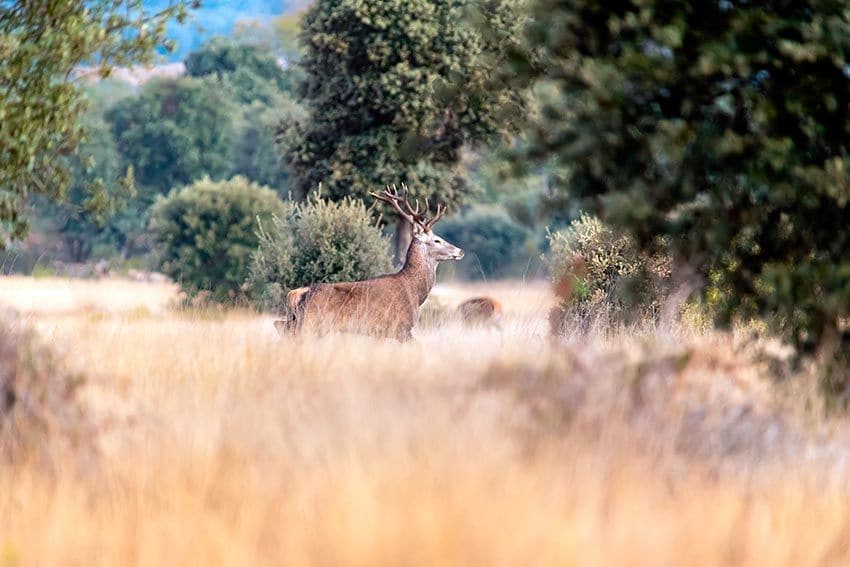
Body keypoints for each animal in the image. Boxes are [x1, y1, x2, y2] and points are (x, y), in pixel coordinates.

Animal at [276, 184, 464, 340]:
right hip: (312, 324)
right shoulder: (399, 327)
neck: (415, 293)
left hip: (296, 324)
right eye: (437, 240)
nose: (460, 251)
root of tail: (300, 293)